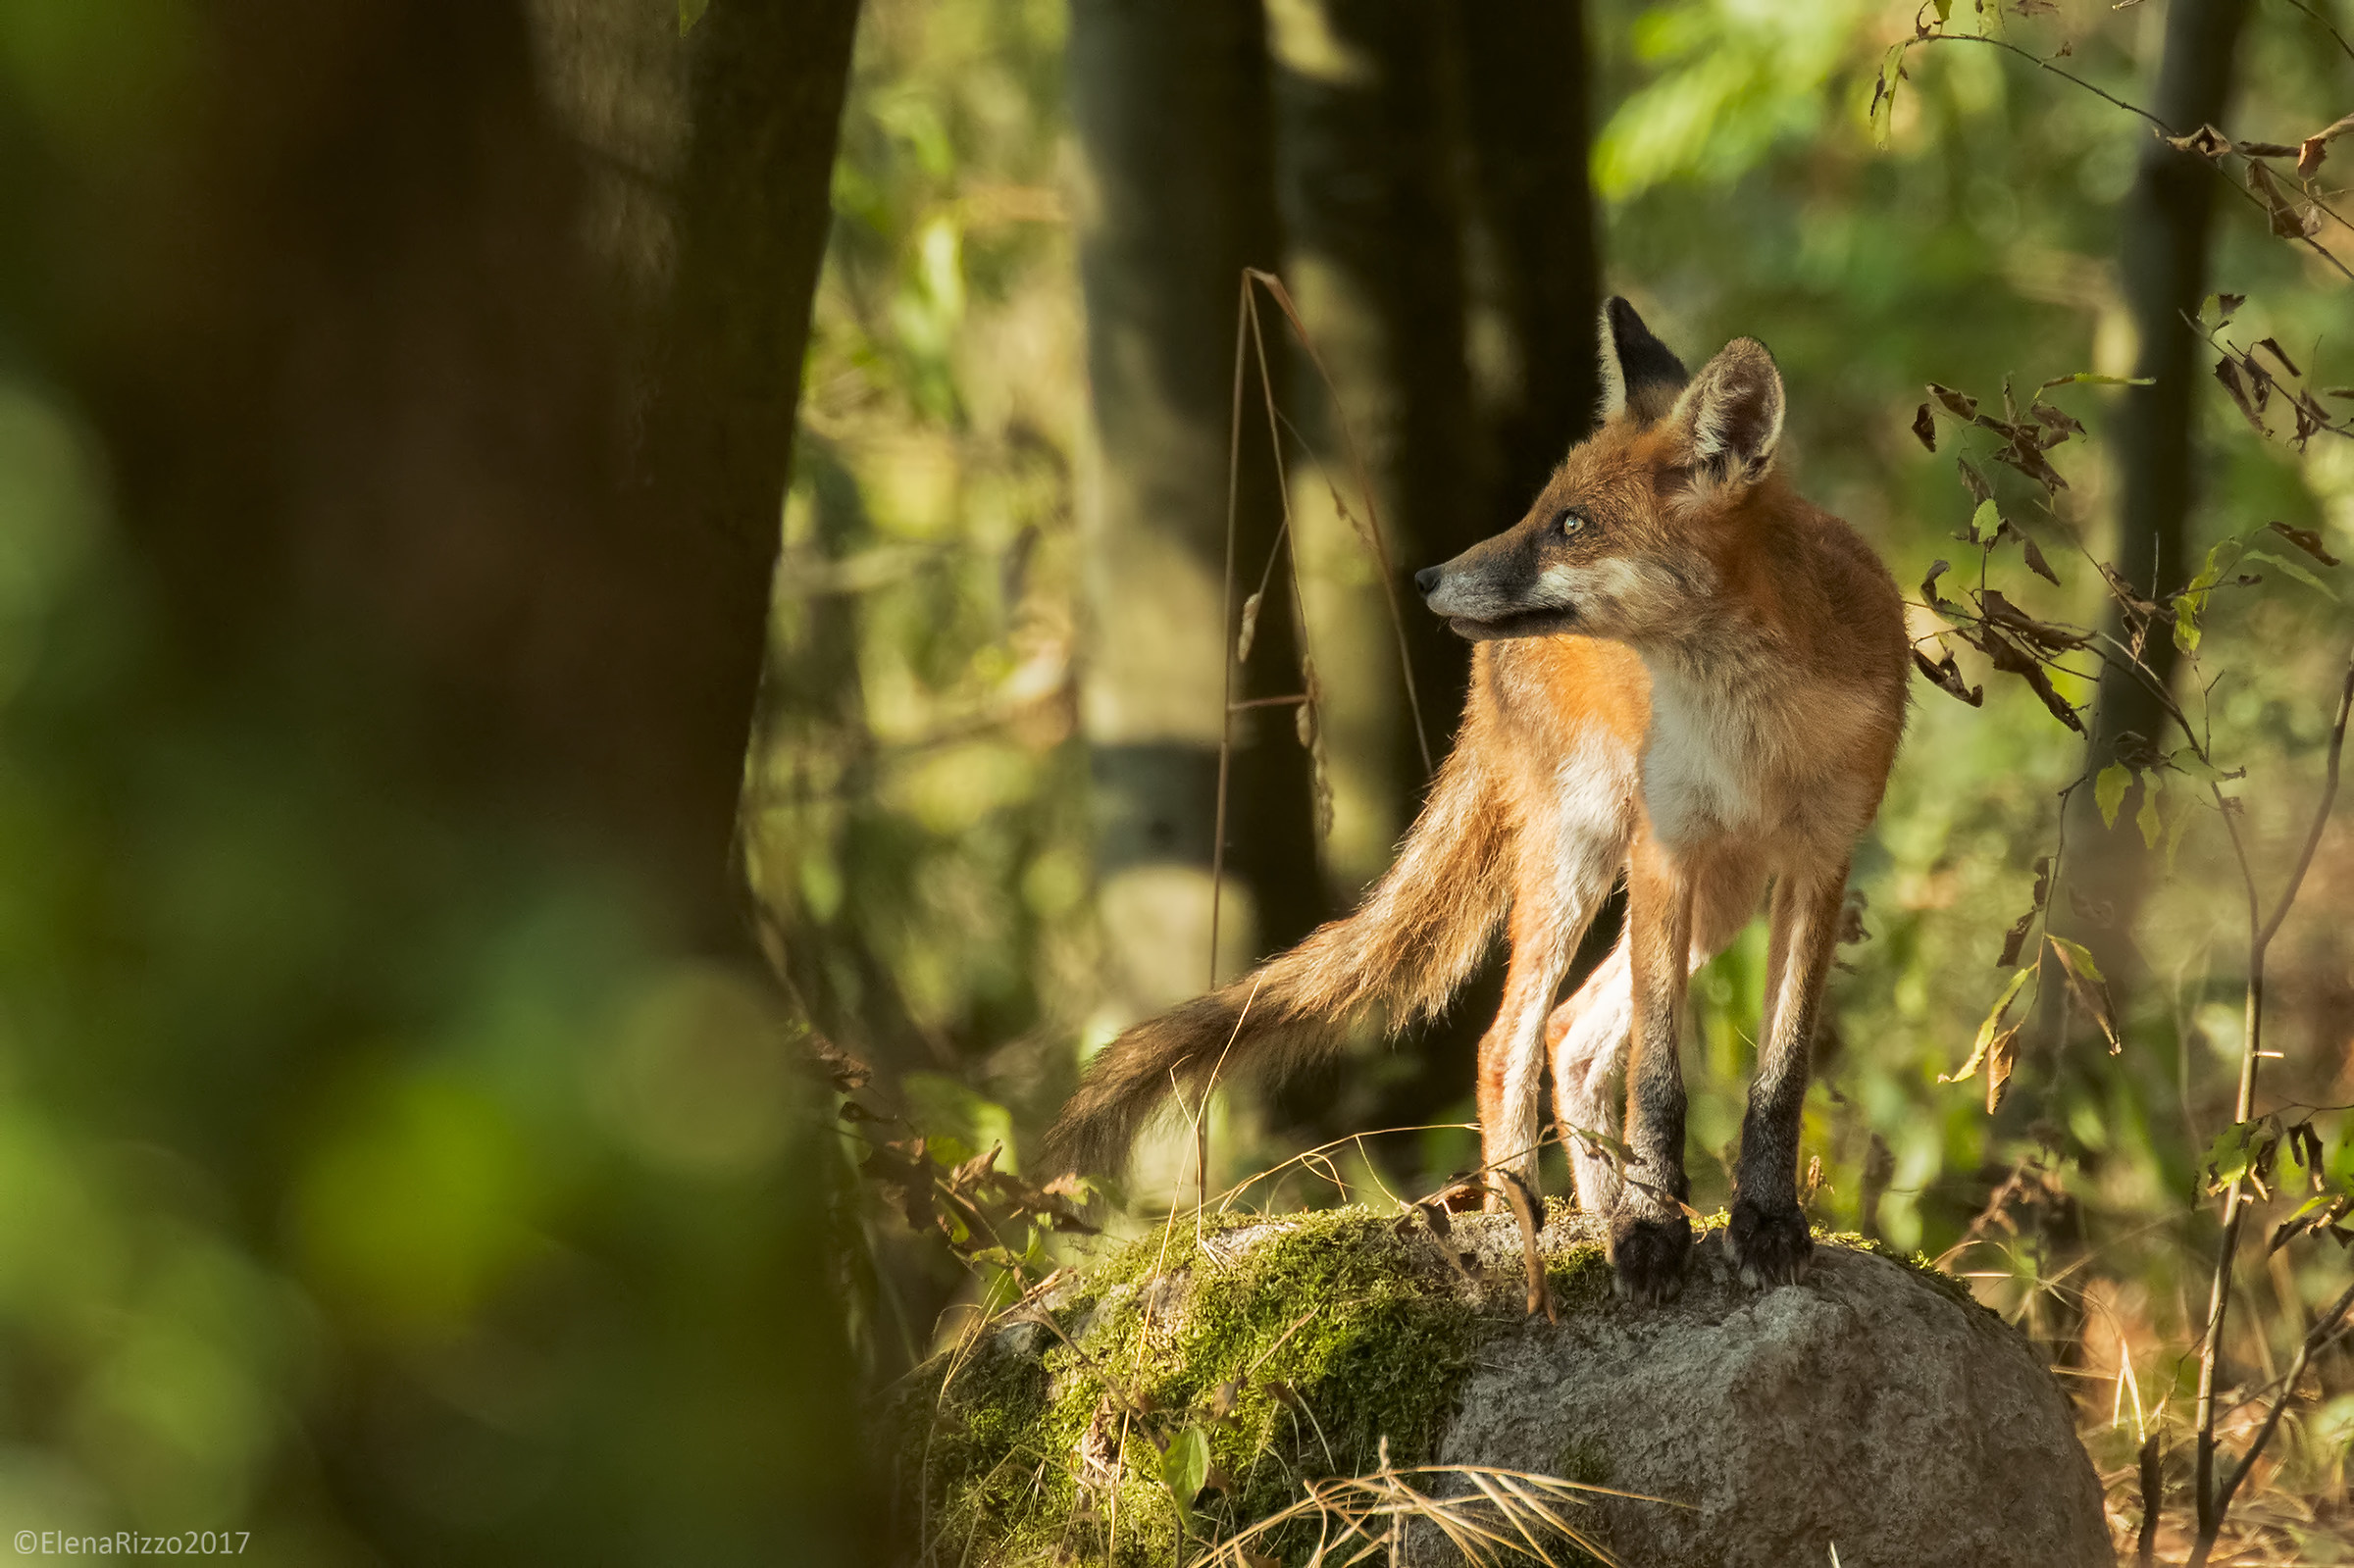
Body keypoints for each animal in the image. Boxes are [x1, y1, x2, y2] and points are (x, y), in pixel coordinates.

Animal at [1043, 298, 1910, 1303]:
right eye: (1541, 509)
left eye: (1571, 524)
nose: (1424, 577)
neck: (1754, 734)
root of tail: (1481, 676)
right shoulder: (1667, 850)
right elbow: (1658, 1083)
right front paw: (1653, 1230)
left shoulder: (1818, 861)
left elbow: (1779, 1078)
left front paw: (1763, 1223)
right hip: (1589, 848)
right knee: (1510, 1039)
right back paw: (1534, 1221)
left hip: (1719, 892)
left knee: (1571, 1035)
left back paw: (1592, 1210)